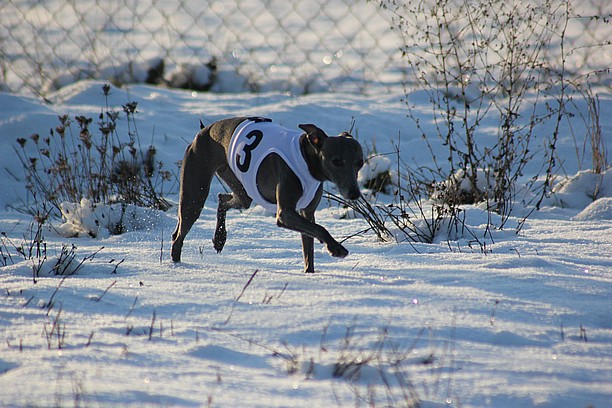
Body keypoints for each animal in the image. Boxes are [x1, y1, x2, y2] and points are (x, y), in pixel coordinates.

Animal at [171, 116, 364, 272]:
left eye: (360, 163)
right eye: (336, 161)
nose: (354, 194)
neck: (306, 159)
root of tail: (204, 130)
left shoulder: (307, 212)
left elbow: (310, 245)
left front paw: (310, 273)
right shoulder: (285, 214)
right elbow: (319, 228)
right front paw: (336, 248)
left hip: (242, 190)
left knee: (223, 198)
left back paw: (219, 238)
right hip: (195, 193)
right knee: (178, 235)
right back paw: (177, 264)